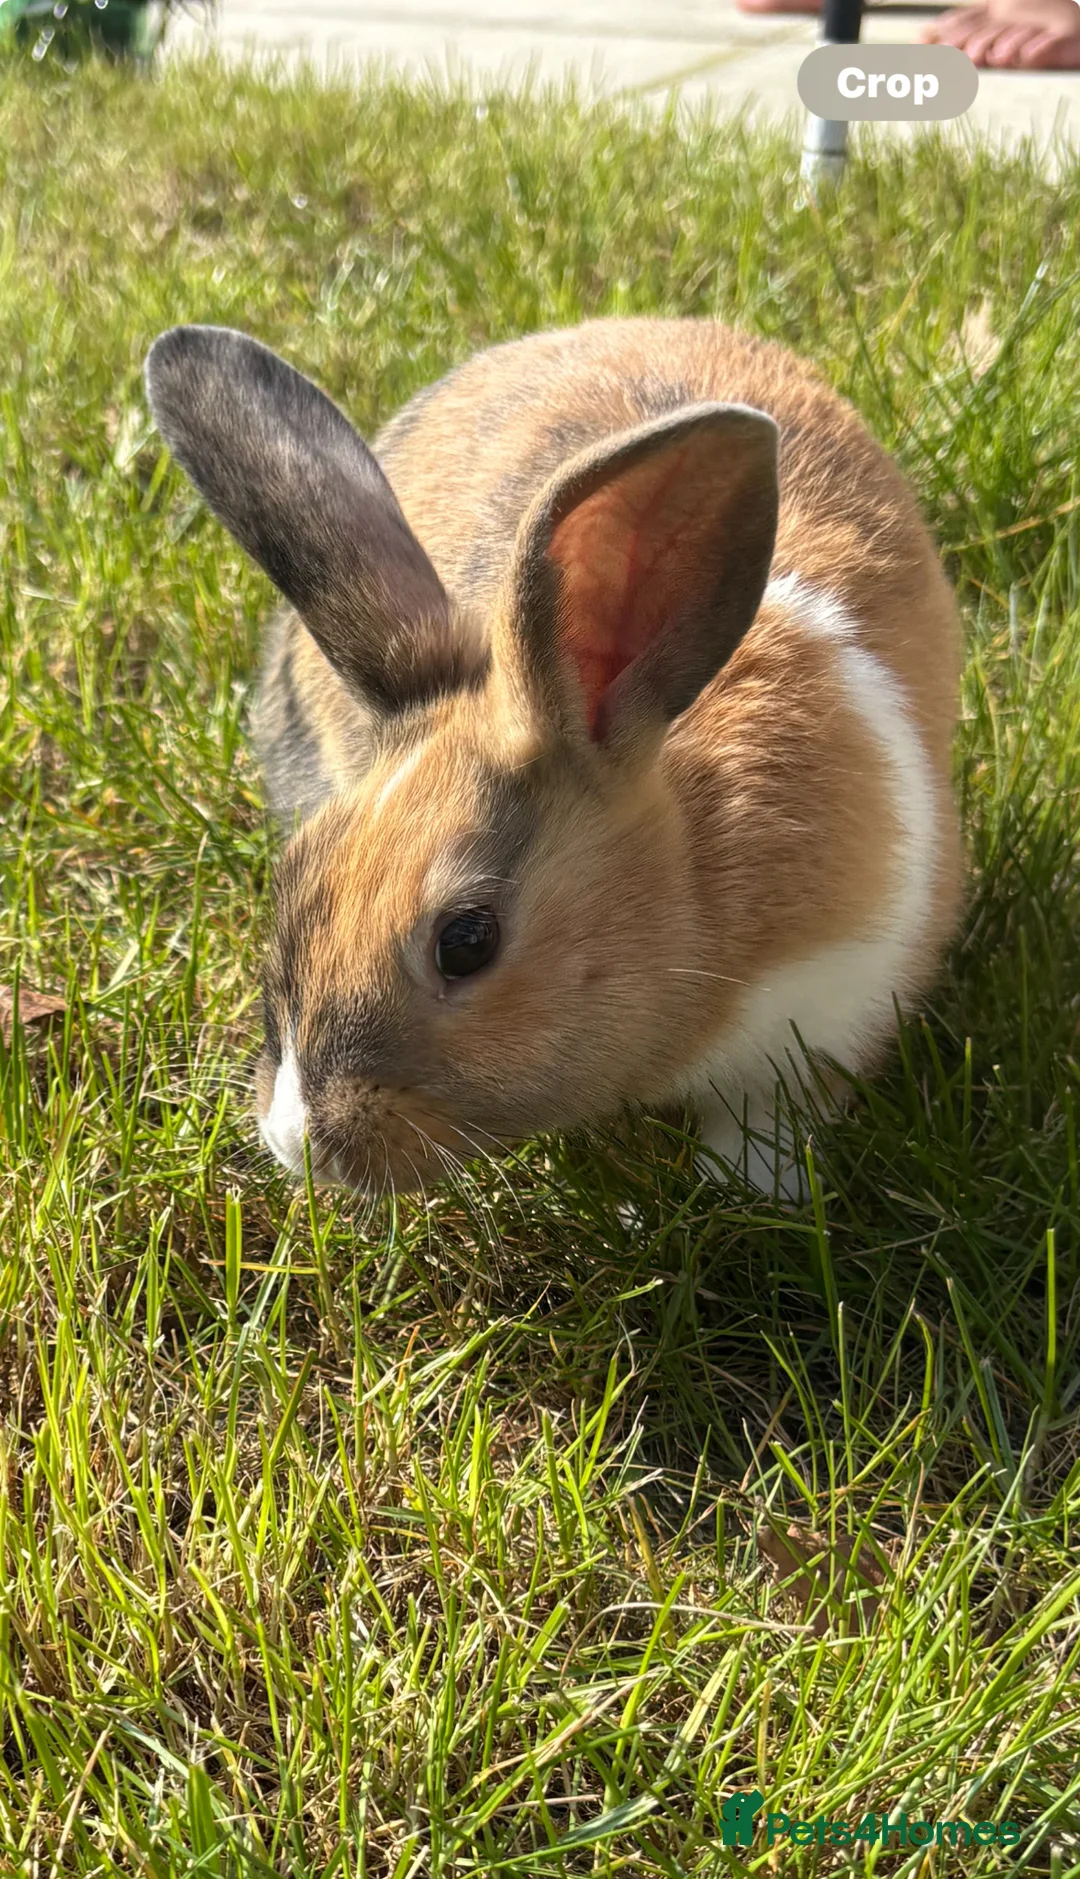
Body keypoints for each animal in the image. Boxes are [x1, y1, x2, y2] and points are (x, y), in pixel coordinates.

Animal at [144, 317, 963, 1202]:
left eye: (466, 941)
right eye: (294, 874)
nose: (299, 1145)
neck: (696, 876)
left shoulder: (827, 1017)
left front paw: (747, 1185)